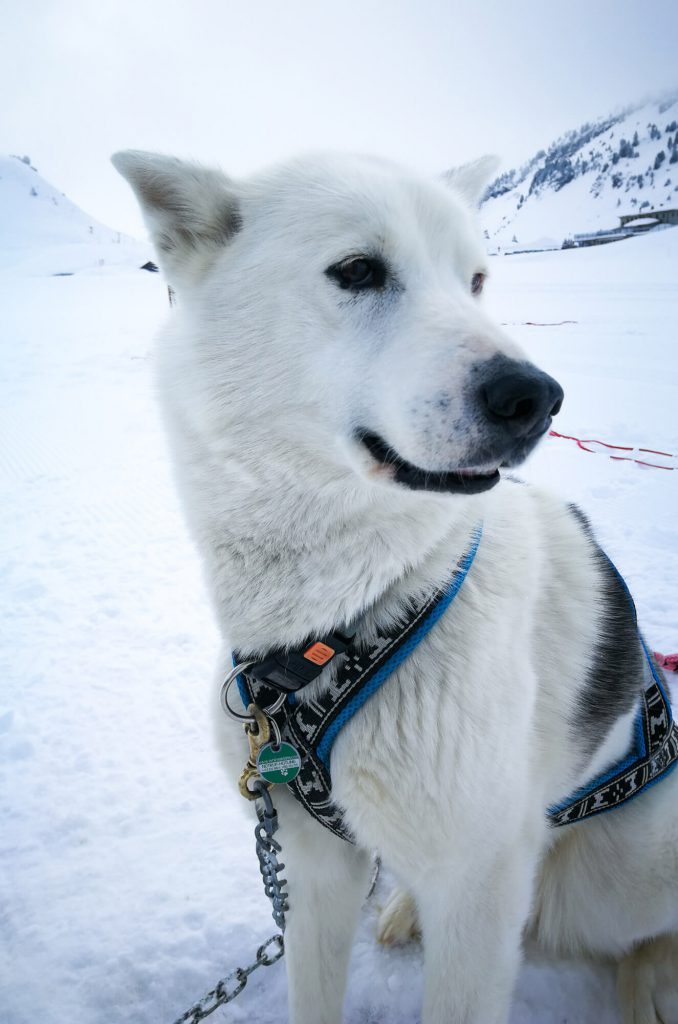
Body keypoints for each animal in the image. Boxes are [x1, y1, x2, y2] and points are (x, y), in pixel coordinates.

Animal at [115, 149, 678, 1024]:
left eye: (476, 279)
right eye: (357, 270)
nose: (536, 397)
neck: (358, 616)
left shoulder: (481, 893)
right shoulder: (312, 867)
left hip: (611, 879)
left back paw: (649, 977)